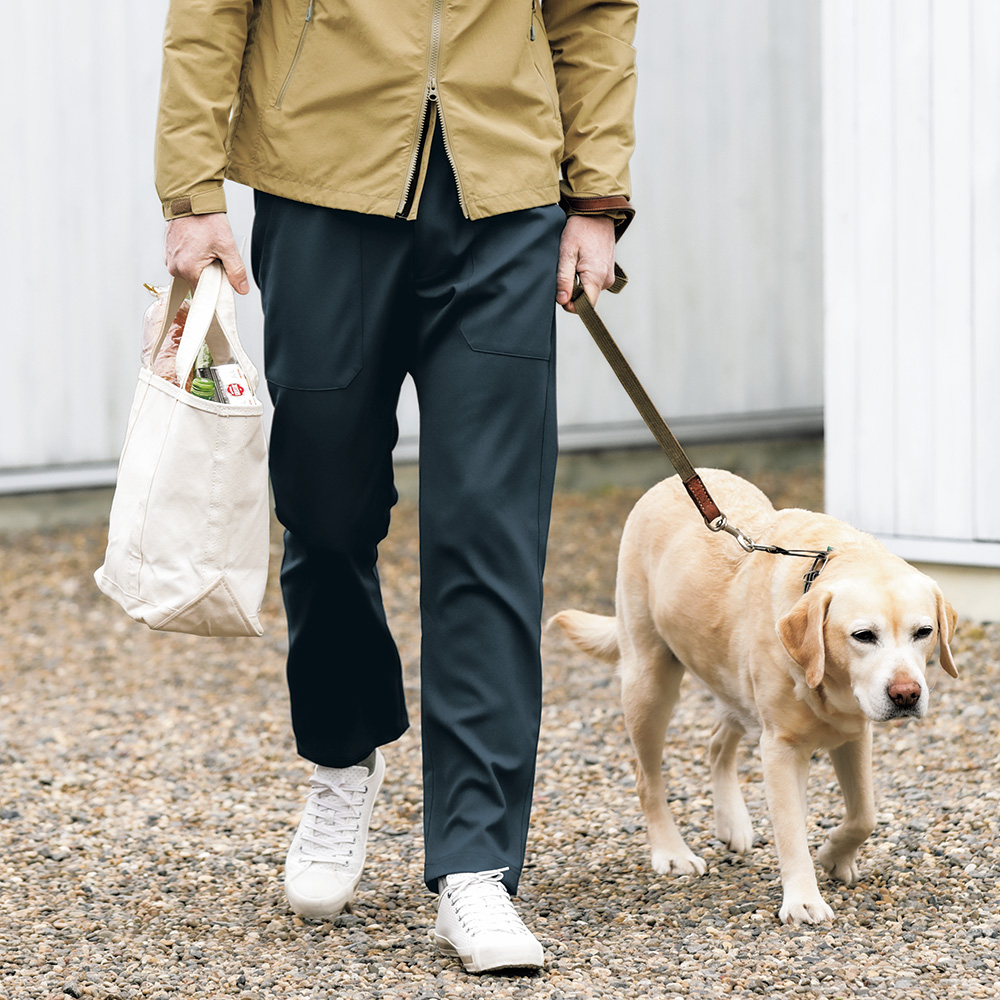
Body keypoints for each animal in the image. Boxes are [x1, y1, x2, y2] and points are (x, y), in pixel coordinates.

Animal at [552, 468, 956, 920]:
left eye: (924, 632)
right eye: (863, 636)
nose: (906, 694)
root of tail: (669, 481)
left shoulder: (853, 735)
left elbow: (863, 815)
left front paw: (834, 856)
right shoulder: (779, 748)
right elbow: (791, 827)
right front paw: (803, 898)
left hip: (733, 687)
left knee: (716, 744)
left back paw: (733, 823)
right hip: (649, 685)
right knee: (647, 778)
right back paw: (671, 852)